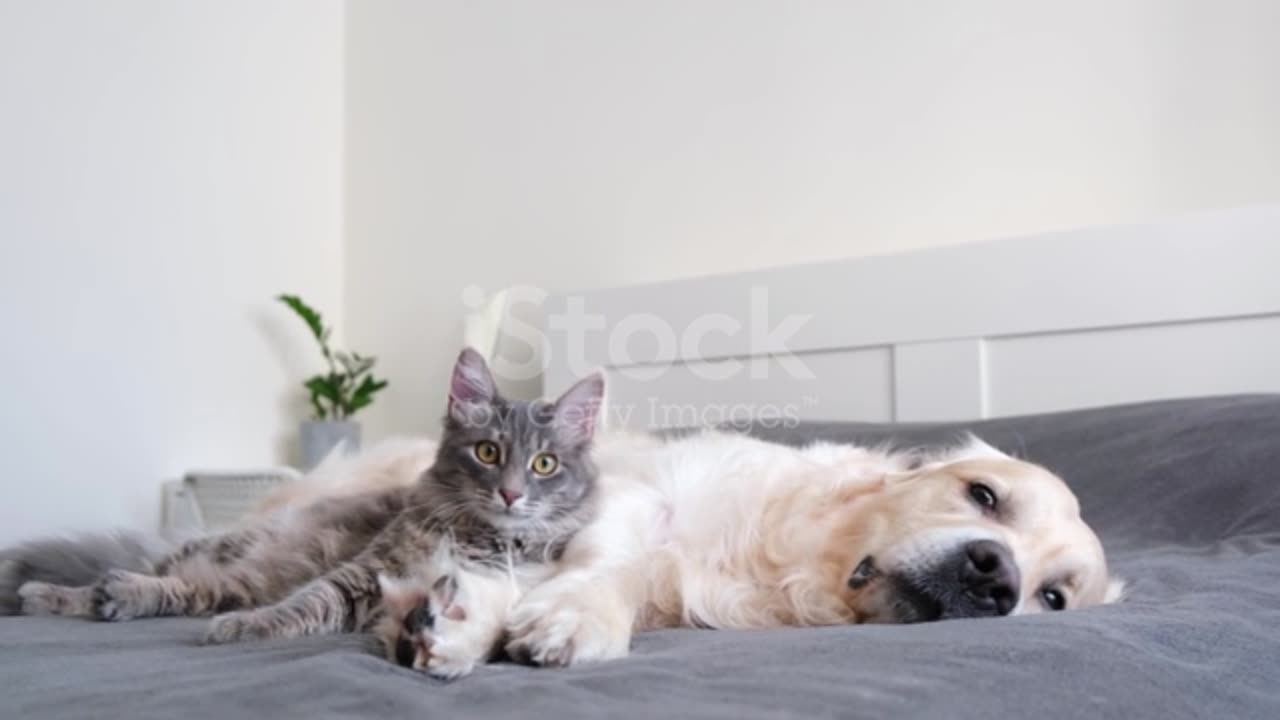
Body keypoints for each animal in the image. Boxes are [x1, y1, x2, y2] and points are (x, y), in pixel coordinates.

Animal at [10, 345, 601, 671]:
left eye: (544, 464)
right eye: (488, 452)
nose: (510, 494)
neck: (473, 532)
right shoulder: (364, 572)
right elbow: (303, 604)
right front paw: (248, 628)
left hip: (232, 582)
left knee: (178, 591)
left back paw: (105, 598)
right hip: (238, 553)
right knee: (138, 576)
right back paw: (48, 592)